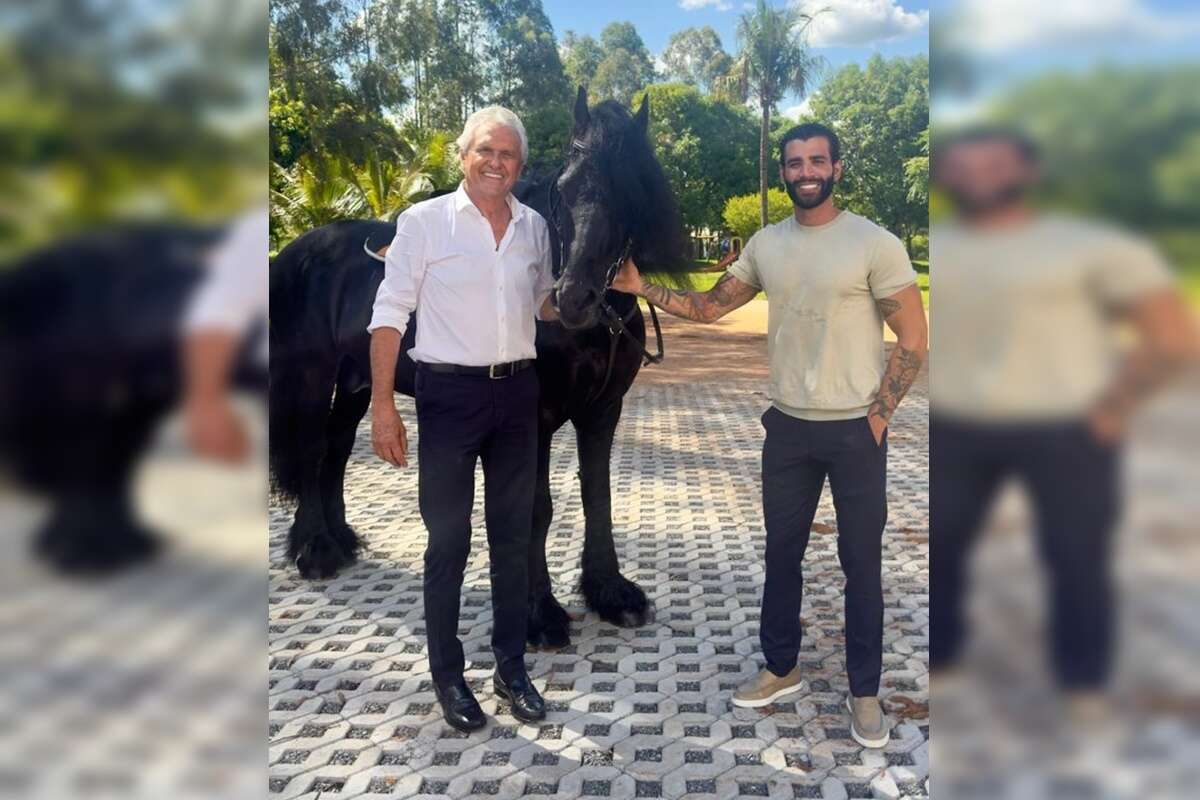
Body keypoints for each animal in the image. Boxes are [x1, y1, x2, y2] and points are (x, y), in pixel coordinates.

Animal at [267, 89, 691, 652]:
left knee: (335, 449)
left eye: (632, 192)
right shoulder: (534, 419)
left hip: (359, 381)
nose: (573, 299)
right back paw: (315, 549)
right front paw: (540, 616)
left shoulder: (602, 413)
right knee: (313, 449)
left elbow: (596, 497)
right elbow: (536, 508)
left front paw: (610, 592)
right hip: (314, 377)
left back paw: (340, 540)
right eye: (564, 189)